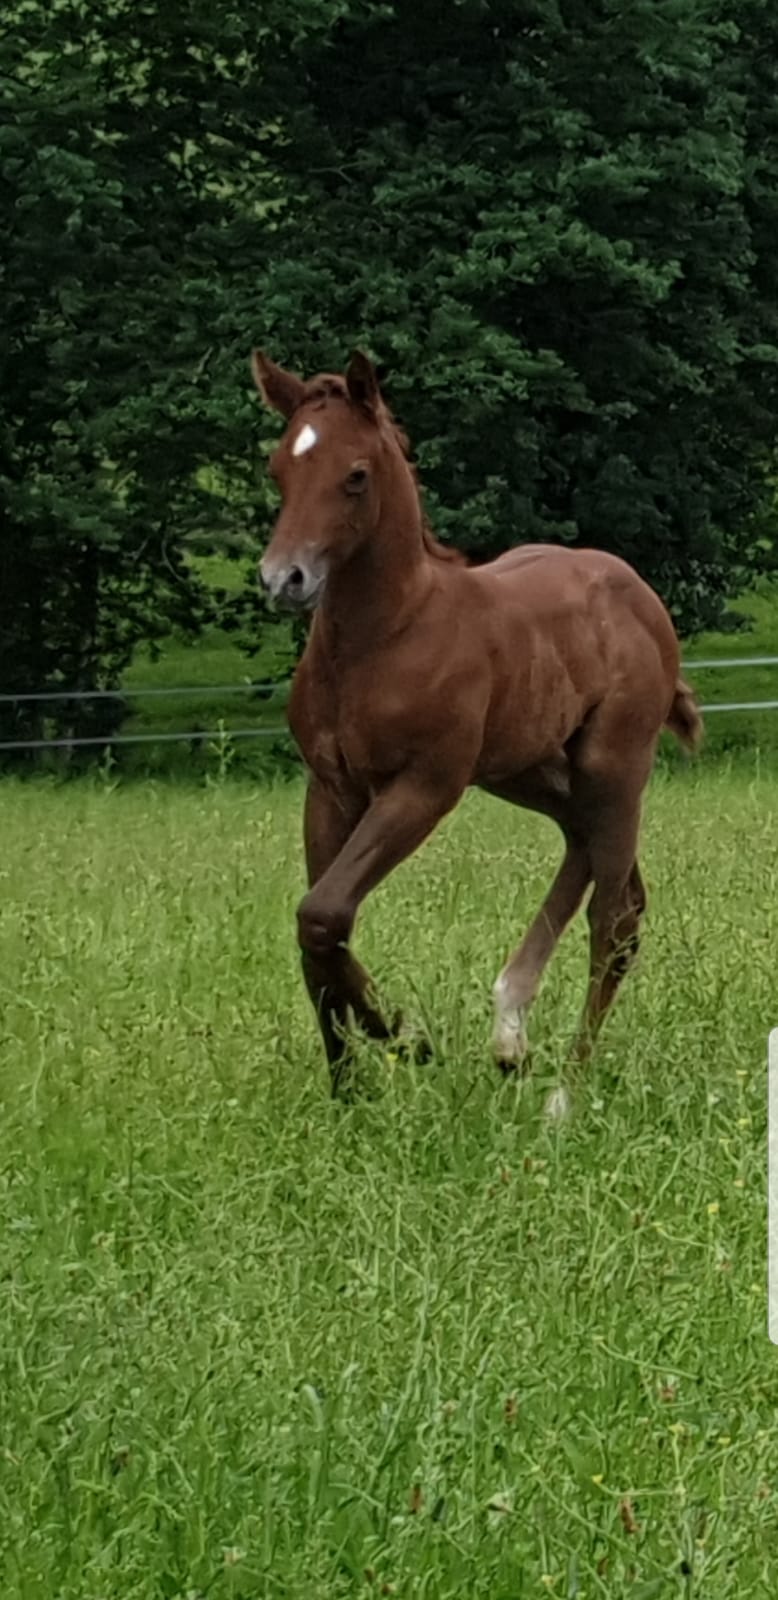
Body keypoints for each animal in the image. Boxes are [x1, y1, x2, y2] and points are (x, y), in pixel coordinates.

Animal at [252, 347, 701, 1113]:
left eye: (355, 475)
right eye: (280, 469)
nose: (285, 579)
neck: (383, 638)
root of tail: (638, 592)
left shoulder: (425, 785)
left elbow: (324, 911)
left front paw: (404, 1037)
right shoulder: (330, 788)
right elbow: (318, 927)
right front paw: (348, 1091)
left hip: (614, 764)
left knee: (615, 919)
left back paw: (564, 1093)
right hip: (533, 770)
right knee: (590, 856)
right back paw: (510, 1032)